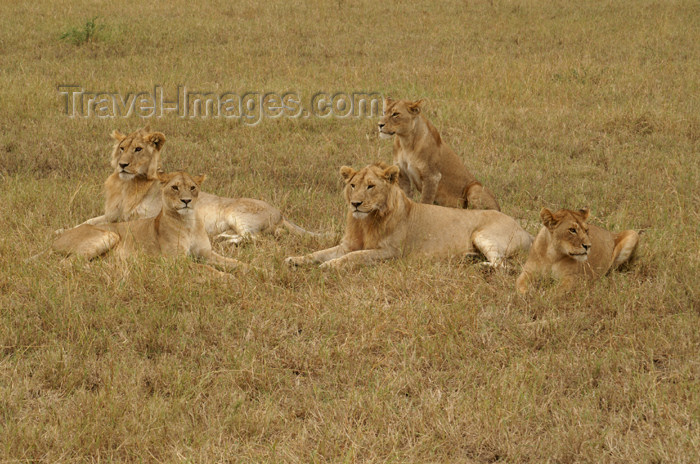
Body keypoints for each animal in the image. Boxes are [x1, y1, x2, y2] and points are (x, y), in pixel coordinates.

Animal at [71, 125, 318, 245]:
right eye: (122, 148)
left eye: (138, 149)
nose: (122, 165)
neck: (127, 185)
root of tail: (280, 213)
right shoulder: (112, 214)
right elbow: (86, 222)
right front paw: (66, 230)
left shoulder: (145, 218)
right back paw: (223, 237)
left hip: (238, 214)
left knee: (254, 237)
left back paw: (225, 241)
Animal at [284, 163, 532, 270]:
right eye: (353, 185)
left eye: (371, 186)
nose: (355, 204)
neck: (365, 222)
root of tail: (525, 230)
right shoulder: (347, 244)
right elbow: (318, 253)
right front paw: (295, 259)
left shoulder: (390, 251)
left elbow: (354, 257)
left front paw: (331, 265)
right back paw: (468, 258)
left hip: (483, 235)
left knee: (504, 265)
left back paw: (480, 266)